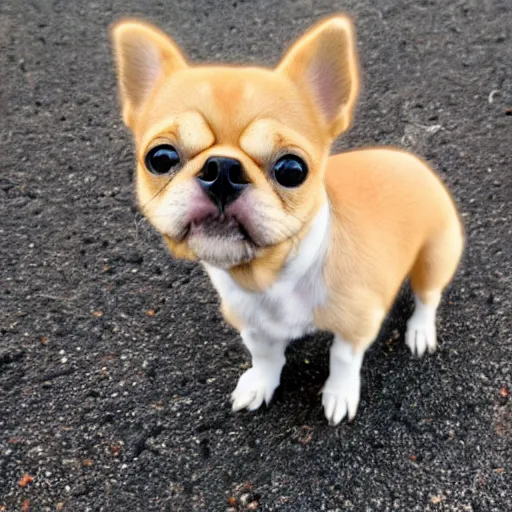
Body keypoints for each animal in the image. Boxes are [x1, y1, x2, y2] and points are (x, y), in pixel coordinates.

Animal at [111, 16, 464, 424]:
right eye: (160, 158)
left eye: (292, 170)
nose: (222, 170)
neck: (272, 278)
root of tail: (411, 160)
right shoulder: (252, 325)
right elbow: (264, 356)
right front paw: (260, 383)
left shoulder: (357, 325)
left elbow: (342, 359)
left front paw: (339, 393)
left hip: (436, 256)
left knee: (427, 296)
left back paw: (420, 330)